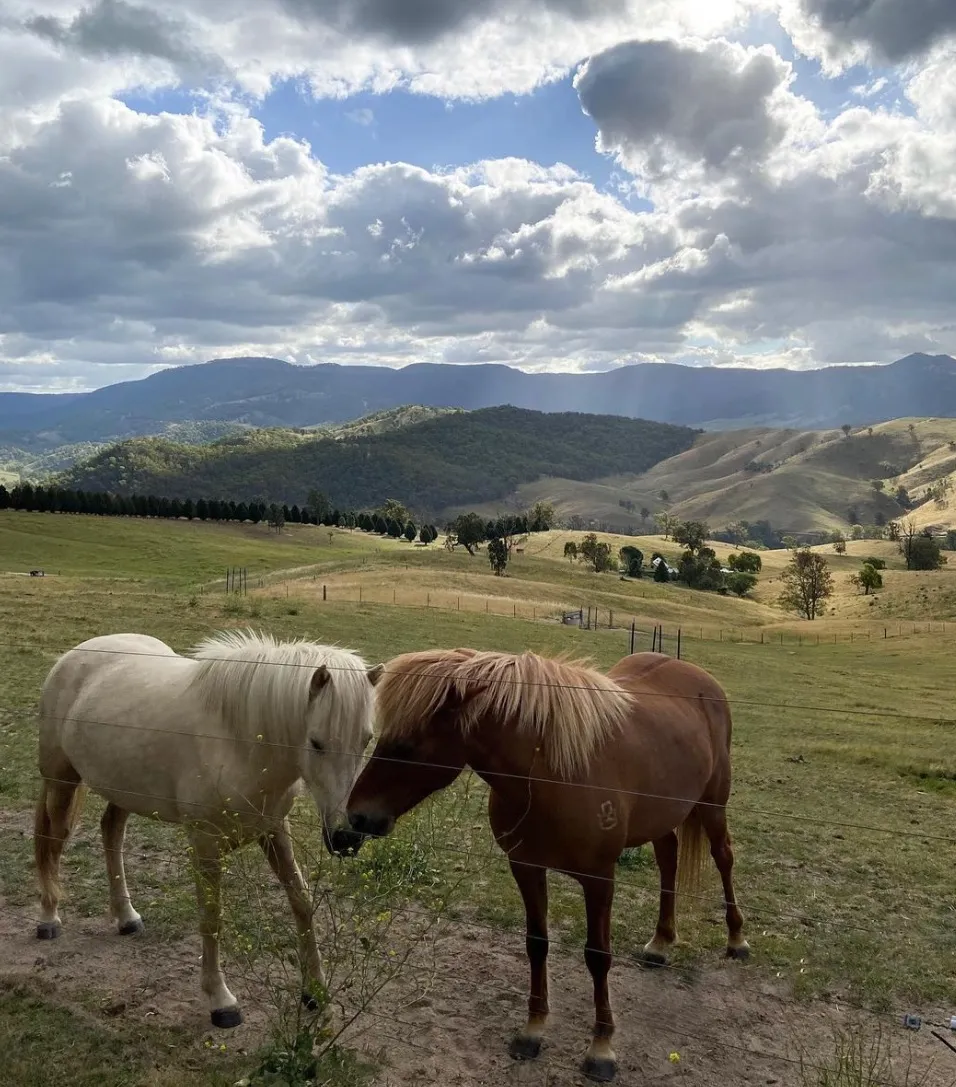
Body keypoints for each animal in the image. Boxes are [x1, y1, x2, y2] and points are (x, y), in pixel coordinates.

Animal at [33, 630, 385, 1026]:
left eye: (366, 739)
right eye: (316, 743)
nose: (346, 837)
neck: (239, 742)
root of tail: (74, 655)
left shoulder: (274, 830)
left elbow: (302, 902)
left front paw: (315, 991)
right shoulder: (205, 843)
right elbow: (212, 916)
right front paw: (221, 1000)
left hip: (122, 789)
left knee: (111, 831)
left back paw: (126, 917)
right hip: (60, 781)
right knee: (51, 840)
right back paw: (48, 918)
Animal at [339, 647, 752, 1082]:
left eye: (407, 745)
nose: (356, 818)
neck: (552, 775)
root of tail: (698, 677)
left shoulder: (599, 879)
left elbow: (597, 955)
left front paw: (601, 1048)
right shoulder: (525, 866)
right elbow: (536, 944)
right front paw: (533, 1030)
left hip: (713, 805)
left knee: (723, 858)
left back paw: (736, 939)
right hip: (664, 813)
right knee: (668, 857)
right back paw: (660, 942)